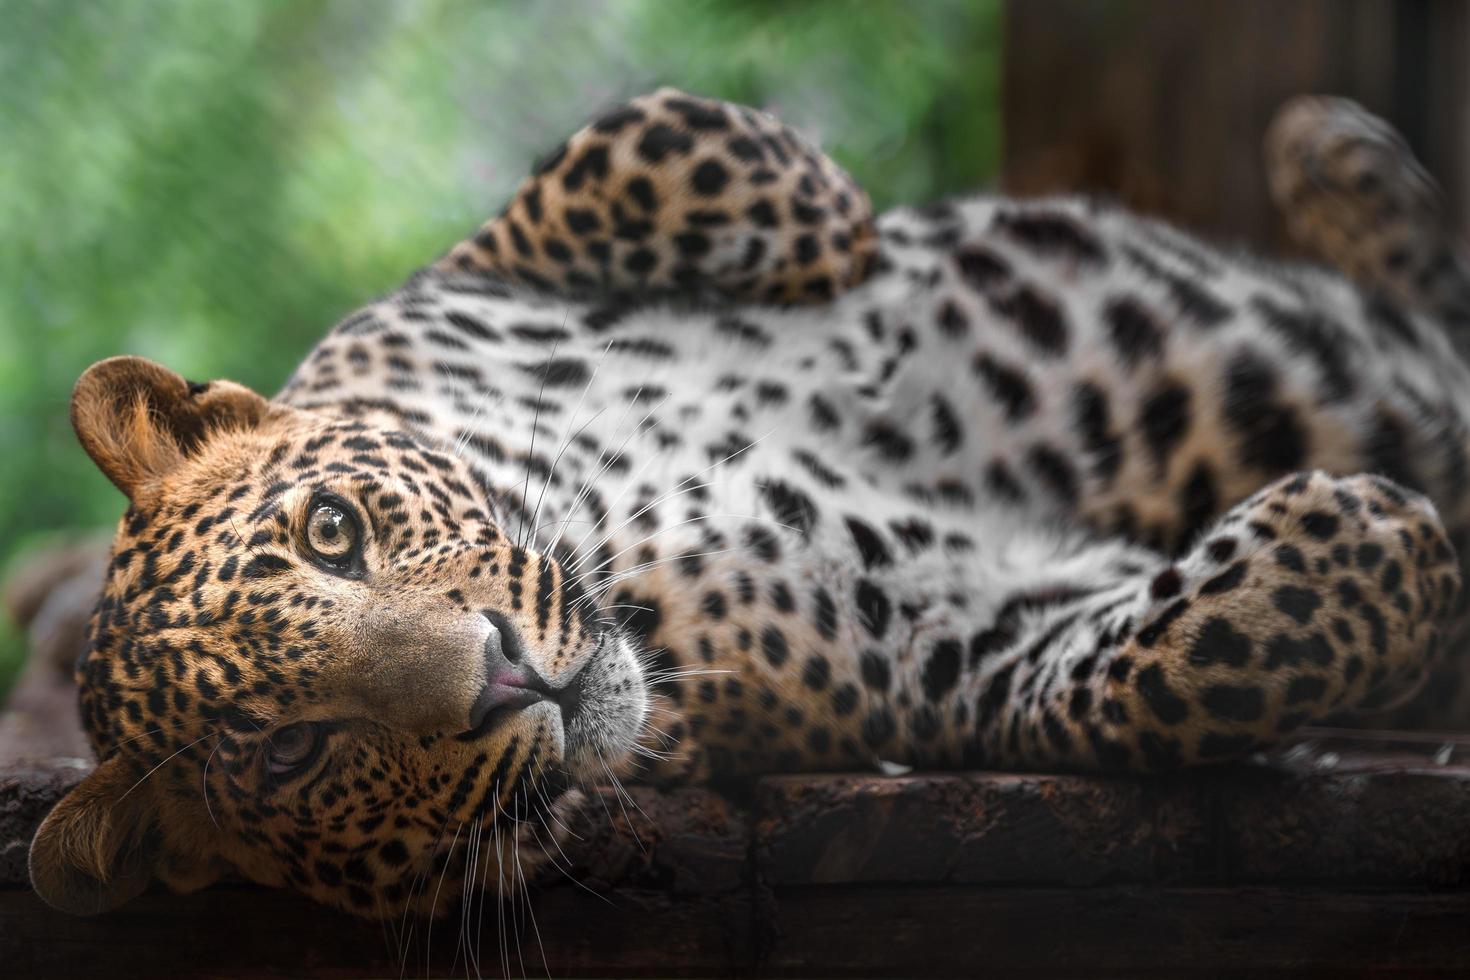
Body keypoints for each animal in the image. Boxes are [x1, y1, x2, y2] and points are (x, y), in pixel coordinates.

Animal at [28, 88, 1470, 922]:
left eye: (334, 531)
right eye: (288, 753)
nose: (503, 677)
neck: (620, 524)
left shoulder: (475, 265)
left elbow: (649, 135)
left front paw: (852, 237)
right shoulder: (941, 644)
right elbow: (1159, 670)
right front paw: (1369, 541)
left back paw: (1336, 154)